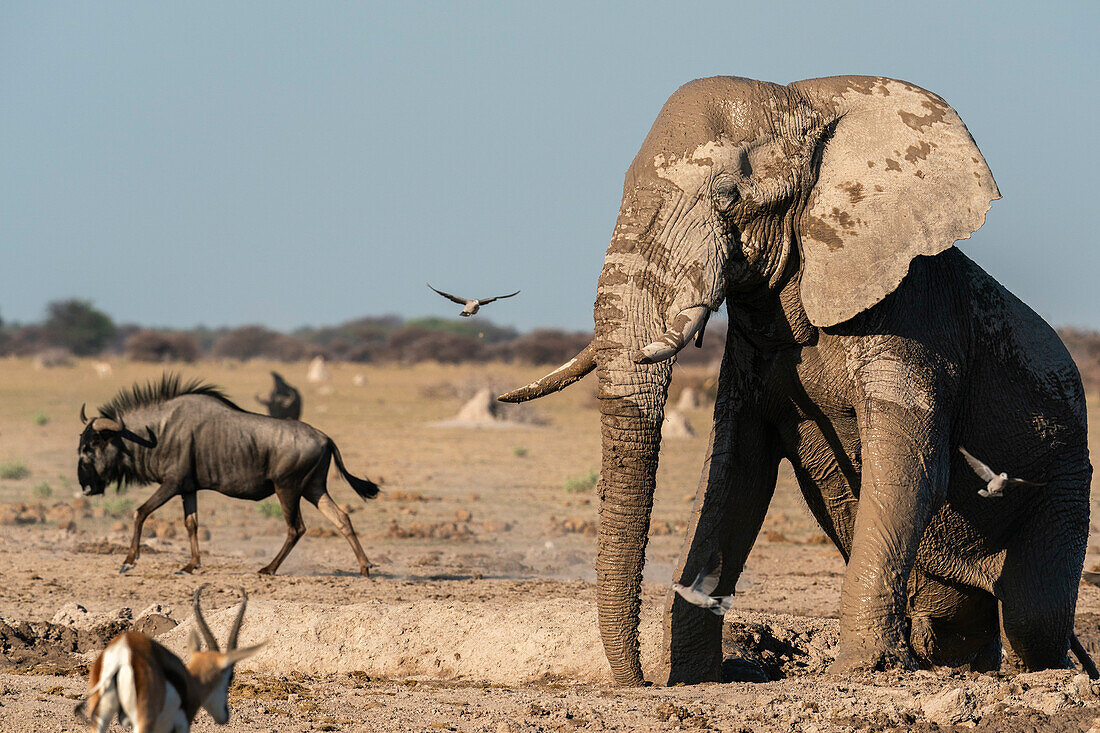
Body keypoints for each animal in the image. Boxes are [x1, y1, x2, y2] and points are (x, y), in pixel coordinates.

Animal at [503, 77, 1095, 682]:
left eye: (728, 197)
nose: (641, 683)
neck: (810, 101)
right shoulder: (752, 355)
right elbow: (734, 476)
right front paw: (697, 677)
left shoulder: (915, 324)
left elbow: (909, 473)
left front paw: (862, 671)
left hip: (1067, 481)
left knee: (1031, 613)